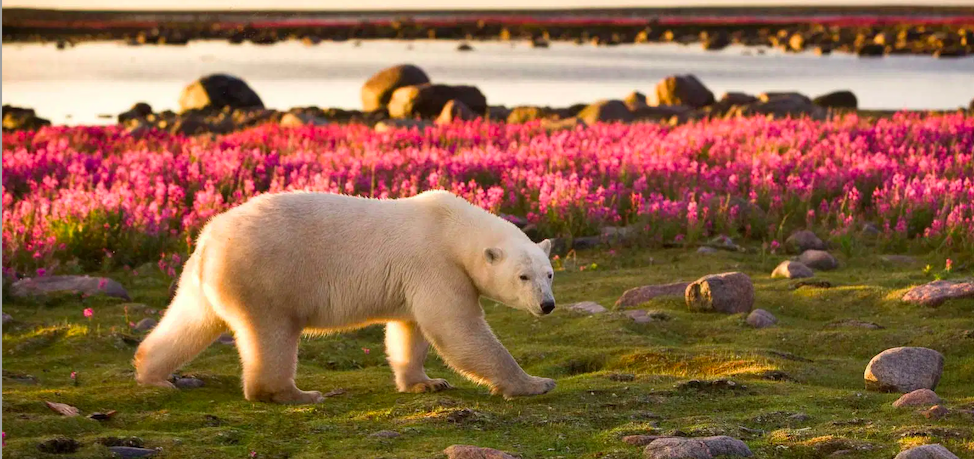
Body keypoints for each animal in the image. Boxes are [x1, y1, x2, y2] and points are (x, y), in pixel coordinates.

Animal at [132, 191, 556, 406]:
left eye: (549, 273)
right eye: (523, 276)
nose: (547, 305)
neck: (453, 228)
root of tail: (208, 240)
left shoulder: (418, 277)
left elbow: (411, 329)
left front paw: (426, 382)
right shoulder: (436, 264)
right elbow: (458, 329)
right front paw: (535, 383)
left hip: (201, 280)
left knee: (190, 320)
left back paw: (152, 374)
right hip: (266, 277)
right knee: (272, 335)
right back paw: (295, 393)